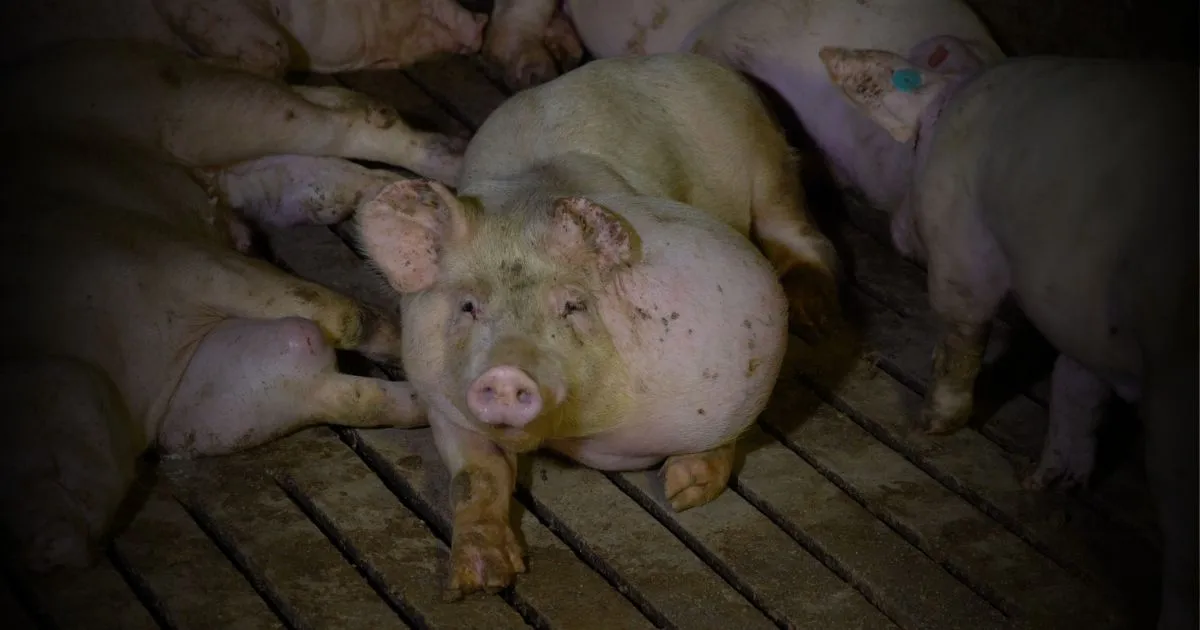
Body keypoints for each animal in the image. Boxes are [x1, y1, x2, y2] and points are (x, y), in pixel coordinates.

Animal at [0, 39, 432, 573]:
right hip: (267, 164)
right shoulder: (200, 405)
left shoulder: (170, 257)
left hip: (199, 103)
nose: (37, 546)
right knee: (343, 163)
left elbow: (332, 312)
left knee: (355, 124)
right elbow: (341, 387)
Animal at [354, 52, 840, 598]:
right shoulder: (443, 399)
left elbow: (728, 431)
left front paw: (682, 491)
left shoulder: (738, 341)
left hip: (766, 155)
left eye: (572, 305)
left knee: (799, 228)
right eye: (469, 306)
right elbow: (478, 474)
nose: (505, 373)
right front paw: (479, 581)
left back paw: (816, 316)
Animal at [817, 38, 1197, 630]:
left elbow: (963, 335)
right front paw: (1042, 482)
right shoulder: (1076, 303)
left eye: (916, 147)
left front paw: (931, 425)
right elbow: (1074, 381)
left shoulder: (961, 248)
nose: (899, 234)